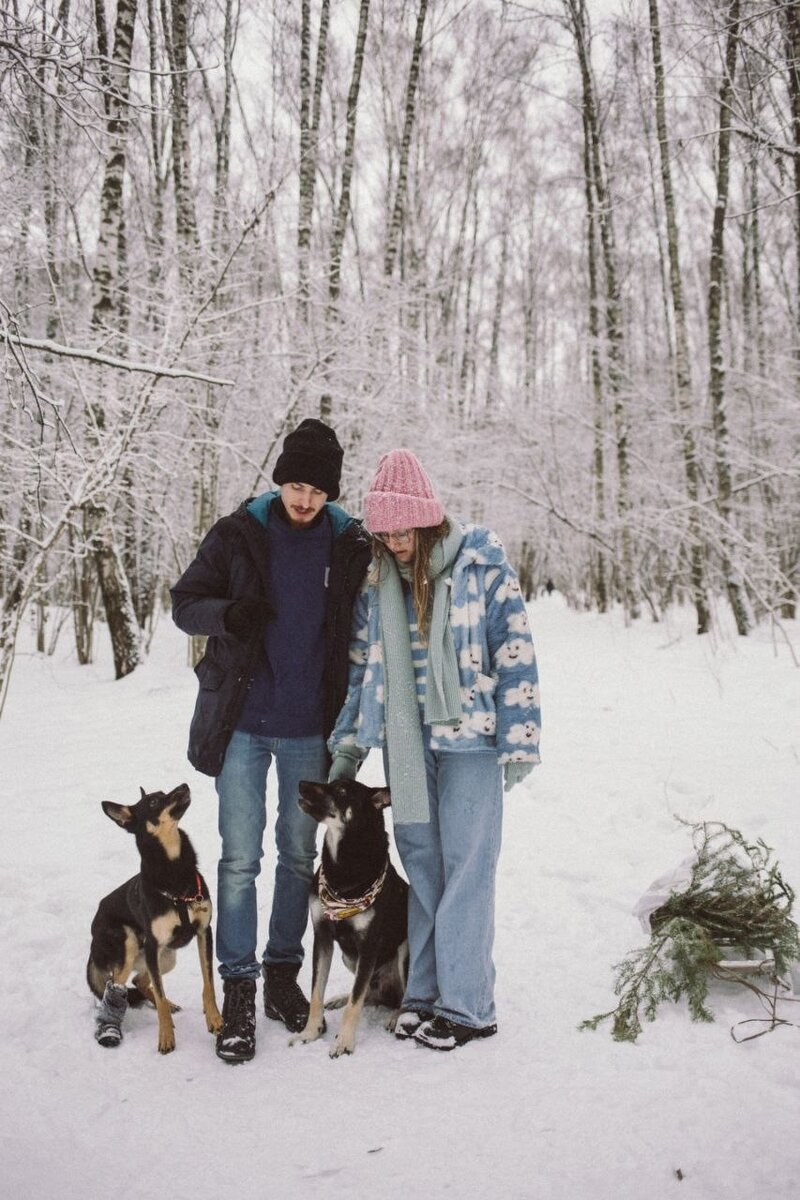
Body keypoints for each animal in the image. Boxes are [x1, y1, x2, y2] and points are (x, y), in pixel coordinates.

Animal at [86, 782, 224, 1056]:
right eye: (153, 802)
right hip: (129, 946)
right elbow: (159, 996)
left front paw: (214, 1019)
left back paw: (170, 1005)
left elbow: (209, 984)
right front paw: (166, 1037)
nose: (184, 785)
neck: (174, 869)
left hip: (166, 958)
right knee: (115, 987)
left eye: (163, 792)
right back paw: (111, 1026)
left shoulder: (204, 932)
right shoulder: (152, 944)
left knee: (139, 980)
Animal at [291, 782, 410, 1056]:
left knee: (402, 996)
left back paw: (396, 1017)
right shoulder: (322, 937)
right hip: (350, 958)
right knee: (370, 993)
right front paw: (310, 1033)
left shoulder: (368, 946)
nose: (301, 784)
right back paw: (340, 999)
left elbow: (355, 1003)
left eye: (342, 791)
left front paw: (344, 1042)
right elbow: (317, 993)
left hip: (405, 951)